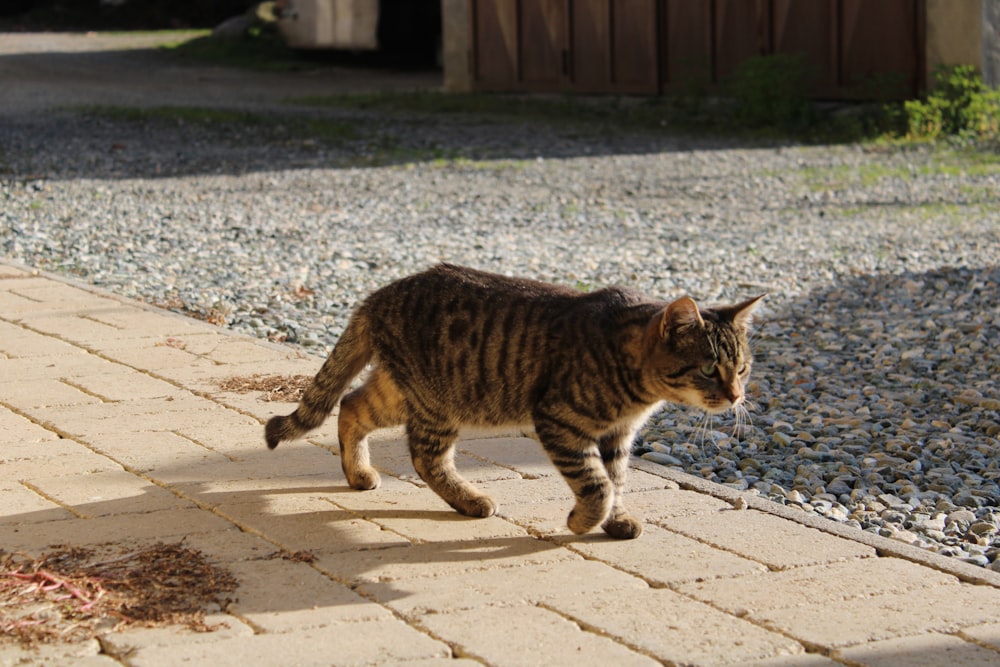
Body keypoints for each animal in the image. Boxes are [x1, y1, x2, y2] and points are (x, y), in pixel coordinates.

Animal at [262, 264, 760, 540]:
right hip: (437, 401)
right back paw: (469, 500)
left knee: (350, 404)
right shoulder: (560, 422)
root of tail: (378, 294)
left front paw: (615, 522)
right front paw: (584, 521)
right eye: (708, 368)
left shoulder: (617, 437)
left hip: (401, 392)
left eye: (742, 368)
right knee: (424, 456)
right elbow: (597, 486)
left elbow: (616, 480)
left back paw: (359, 474)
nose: (736, 396)